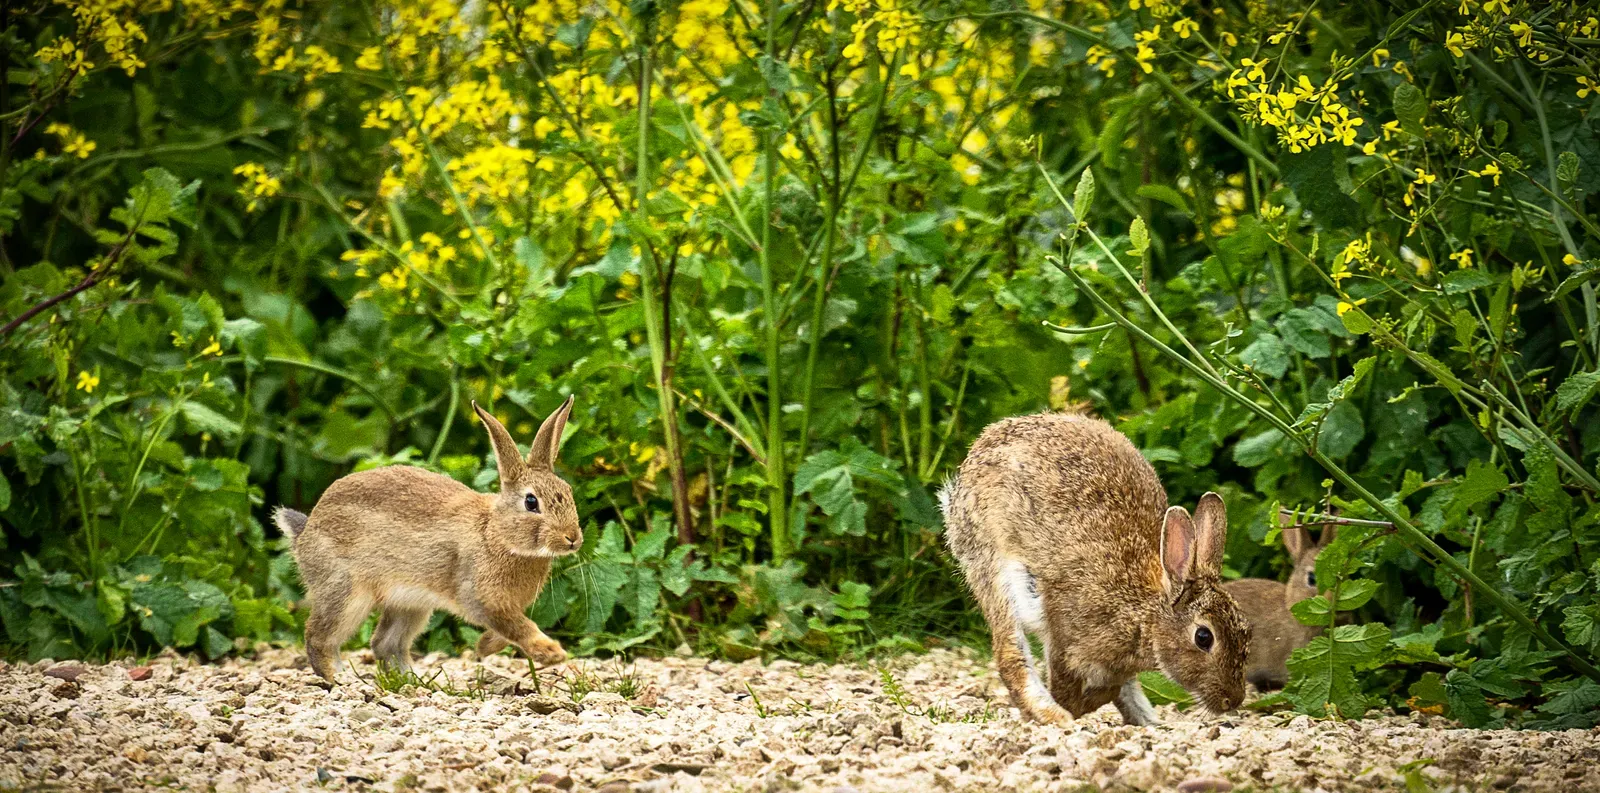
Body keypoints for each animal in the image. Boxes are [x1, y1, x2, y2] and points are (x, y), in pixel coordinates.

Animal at [272, 396, 583, 681]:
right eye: (531, 502)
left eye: (568, 491)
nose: (572, 539)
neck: (495, 534)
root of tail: (305, 532)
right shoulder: (481, 597)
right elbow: (517, 626)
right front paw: (551, 652)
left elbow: (505, 631)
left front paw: (483, 647)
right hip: (346, 592)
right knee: (319, 636)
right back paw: (339, 679)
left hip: (411, 605)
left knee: (384, 643)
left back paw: (415, 681)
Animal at [939, 411, 1249, 726]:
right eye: (1203, 637)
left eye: (1246, 632)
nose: (1233, 700)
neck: (1144, 613)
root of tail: (979, 449)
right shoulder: (1067, 641)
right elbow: (1071, 689)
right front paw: (1071, 710)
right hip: (993, 563)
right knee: (1010, 651)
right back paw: (1051, 715)